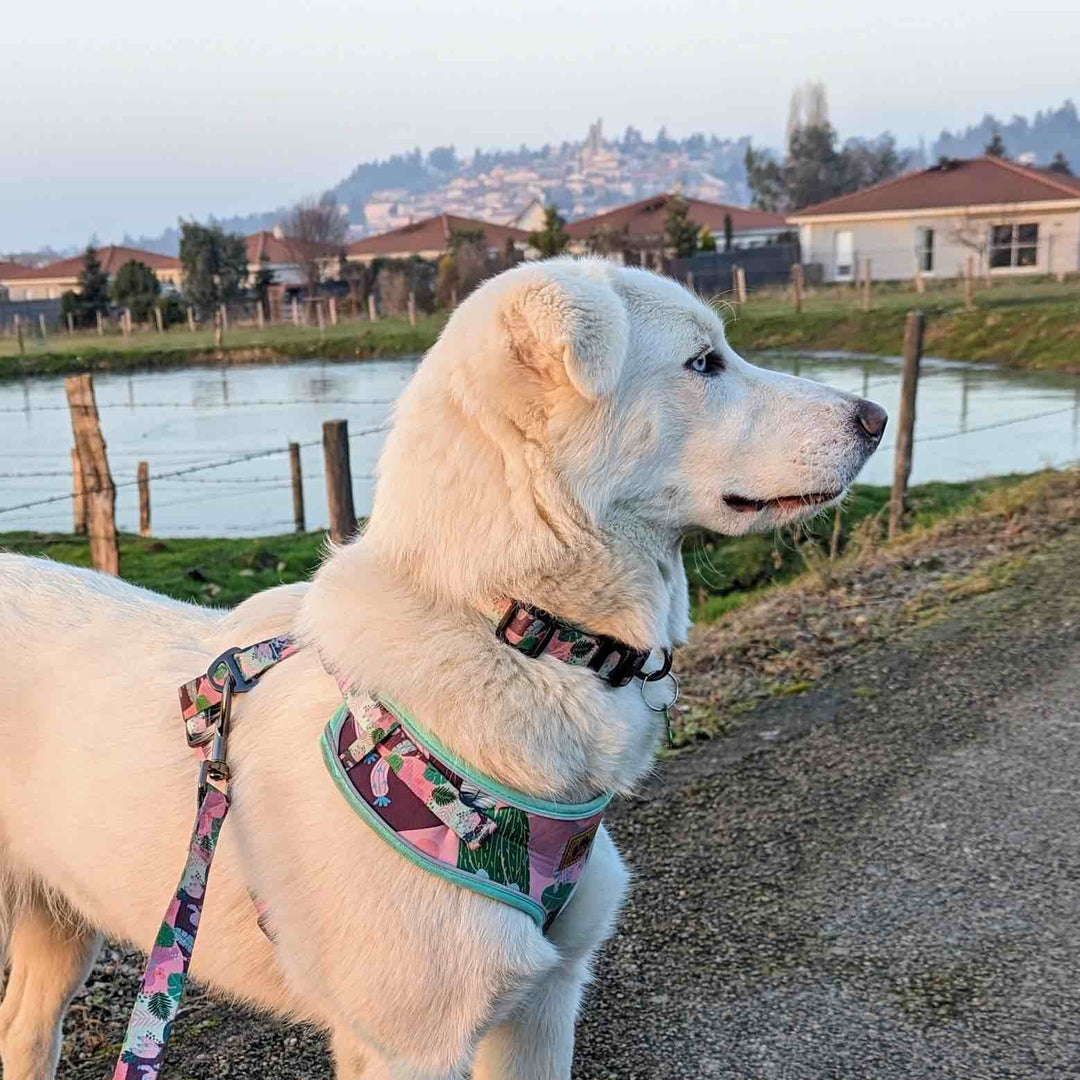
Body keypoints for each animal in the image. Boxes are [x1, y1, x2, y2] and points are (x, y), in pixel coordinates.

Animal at [0, 261, 885, 1080]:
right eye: (705, 362)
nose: (876, 418)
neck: (512, 627)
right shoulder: (410, 1047)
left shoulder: (544, 1004)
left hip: (56, 926)